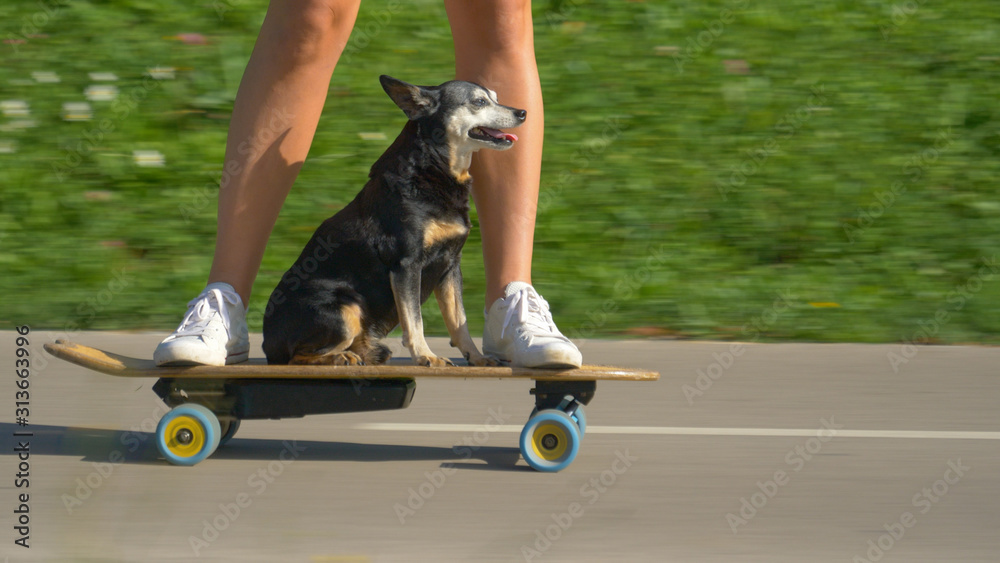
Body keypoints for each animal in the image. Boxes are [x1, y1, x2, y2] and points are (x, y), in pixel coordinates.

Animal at [262, 75, 528, 368]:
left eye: (495, 97)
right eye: (479, 102)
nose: (522, 112)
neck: (433, 168)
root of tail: (267, 342)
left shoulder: (450, 265)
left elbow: (459, 322)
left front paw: (478, 358)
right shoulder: (406, 264)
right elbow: (414, 321)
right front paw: (426, 356)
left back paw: (366, 352)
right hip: (346, 307)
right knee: (295, 357)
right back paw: (342, 356)